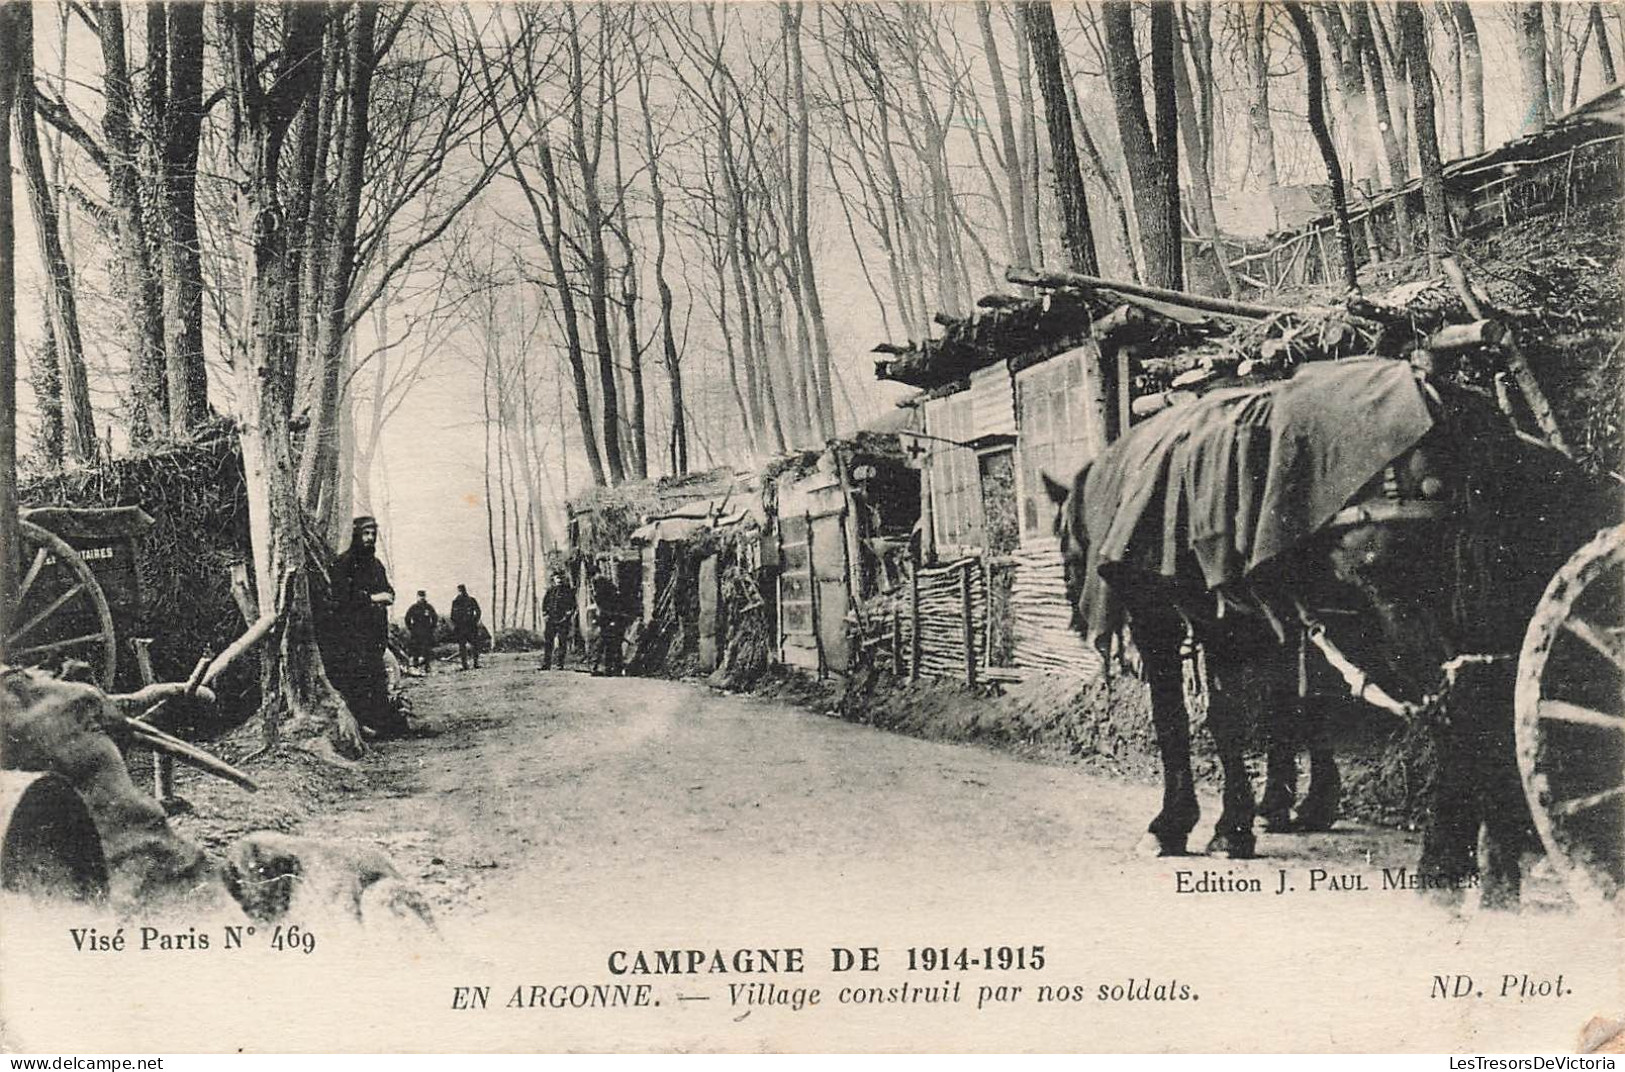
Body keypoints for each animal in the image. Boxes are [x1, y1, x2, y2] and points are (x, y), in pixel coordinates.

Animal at [1046, 355, 1605, 903]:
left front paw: (1180, 825)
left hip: (1399, 606)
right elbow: (1269, 713)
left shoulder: (1162, 619)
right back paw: (1497, 861)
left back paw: (1443, 863)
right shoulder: (1246, 623)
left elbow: (1185, 722)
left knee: (1458, 707)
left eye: (1062, 542)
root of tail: (1443, 400)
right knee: (1497, 699)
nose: (1073, 610)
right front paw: (1259, 815)